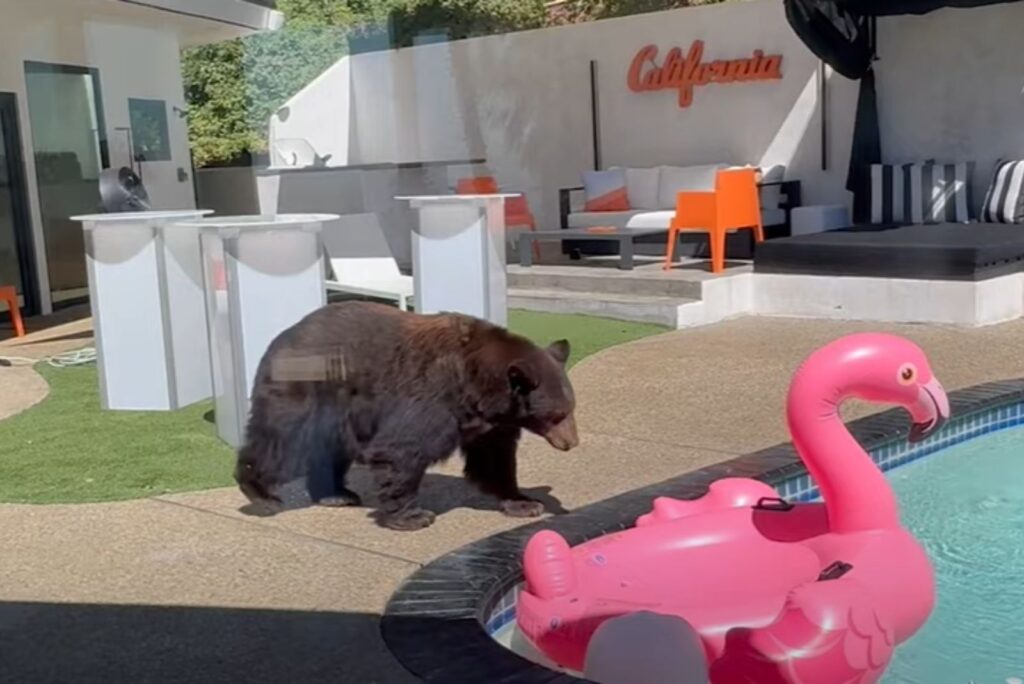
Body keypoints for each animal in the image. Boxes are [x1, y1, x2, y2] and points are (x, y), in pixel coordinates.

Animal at [234, 301, 581, 532]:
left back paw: (335, 493)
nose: (572, 443)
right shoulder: (434, 396)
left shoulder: (491, 425)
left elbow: (494, 461)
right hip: (308, 390)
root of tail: (281, 337)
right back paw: (260, 491)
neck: (479, 387)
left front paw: (523, 502)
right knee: (279, 440)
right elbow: (402, 448)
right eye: (558, 414)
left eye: (571, 408)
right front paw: (412, 515)